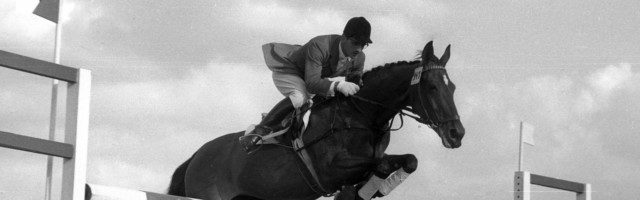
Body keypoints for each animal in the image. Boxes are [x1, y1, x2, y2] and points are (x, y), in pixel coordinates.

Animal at [168, 41, 462, 200]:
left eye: (453, 87)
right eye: (433, 87)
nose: (457, 134)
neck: (362, 114)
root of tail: (195, 158)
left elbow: (408, 161)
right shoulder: (332, 169)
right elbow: (384, 164)